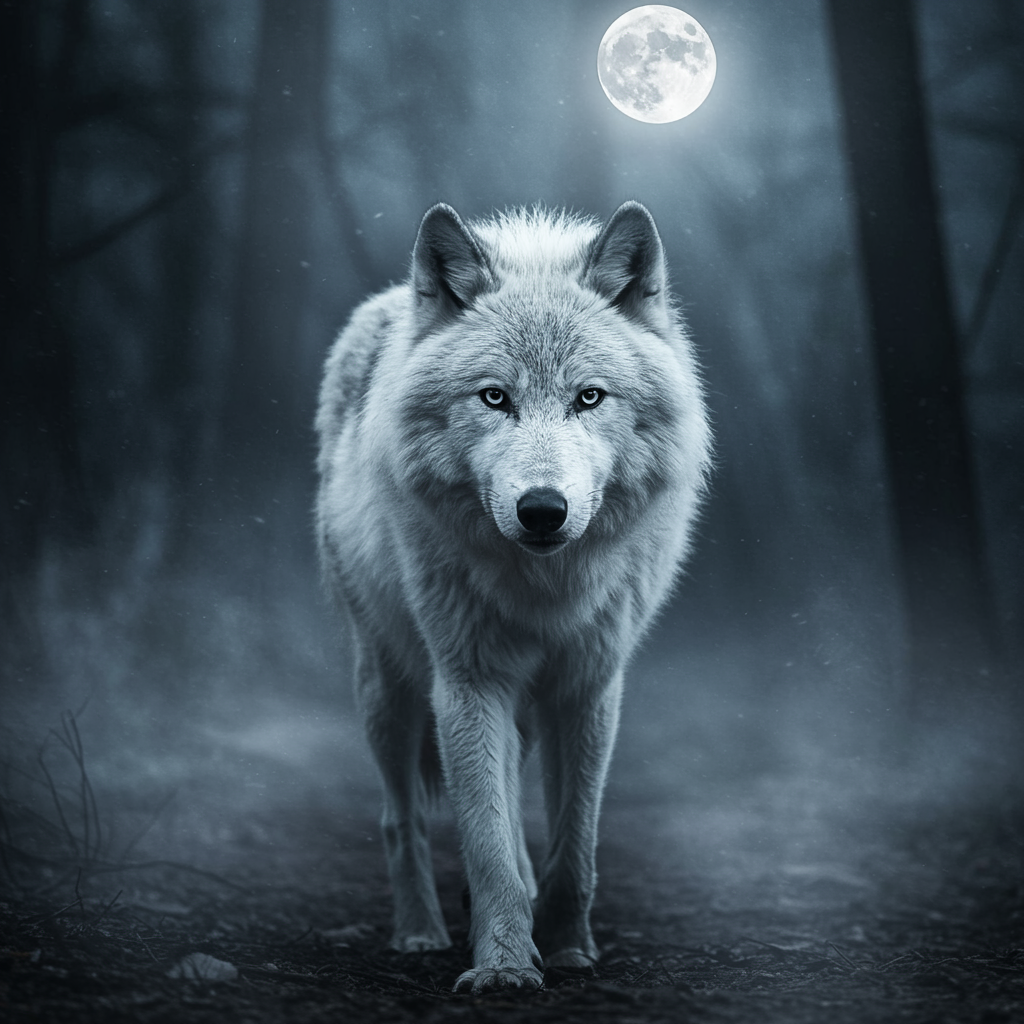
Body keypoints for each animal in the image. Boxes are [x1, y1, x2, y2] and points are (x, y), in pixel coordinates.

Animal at [315, 201, 710, 993]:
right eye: (495, 397)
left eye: (588, 397)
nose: (542, 510)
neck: (545, 590)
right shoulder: (467, 682)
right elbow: (486, 839)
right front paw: (502, 964)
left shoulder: (588, 685)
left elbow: (575, 844)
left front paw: (565, 945)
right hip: (389, 690)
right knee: (400, 820)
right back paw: (420, 932)